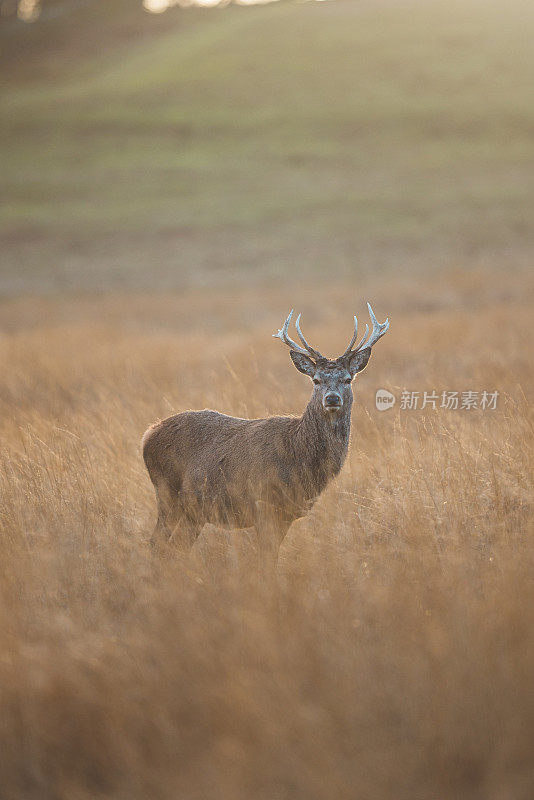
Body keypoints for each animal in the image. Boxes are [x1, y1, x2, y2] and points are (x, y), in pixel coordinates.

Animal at [143, 304, 390, 564]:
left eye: (347, 379)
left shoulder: (285, 514)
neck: (299, 456)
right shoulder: (264, 504)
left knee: (176, 546)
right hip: (166, 493)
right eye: (316, 380)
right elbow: (266, 559)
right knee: (157, 543)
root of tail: (148, 434)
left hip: (193, 510)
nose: (332, 399)